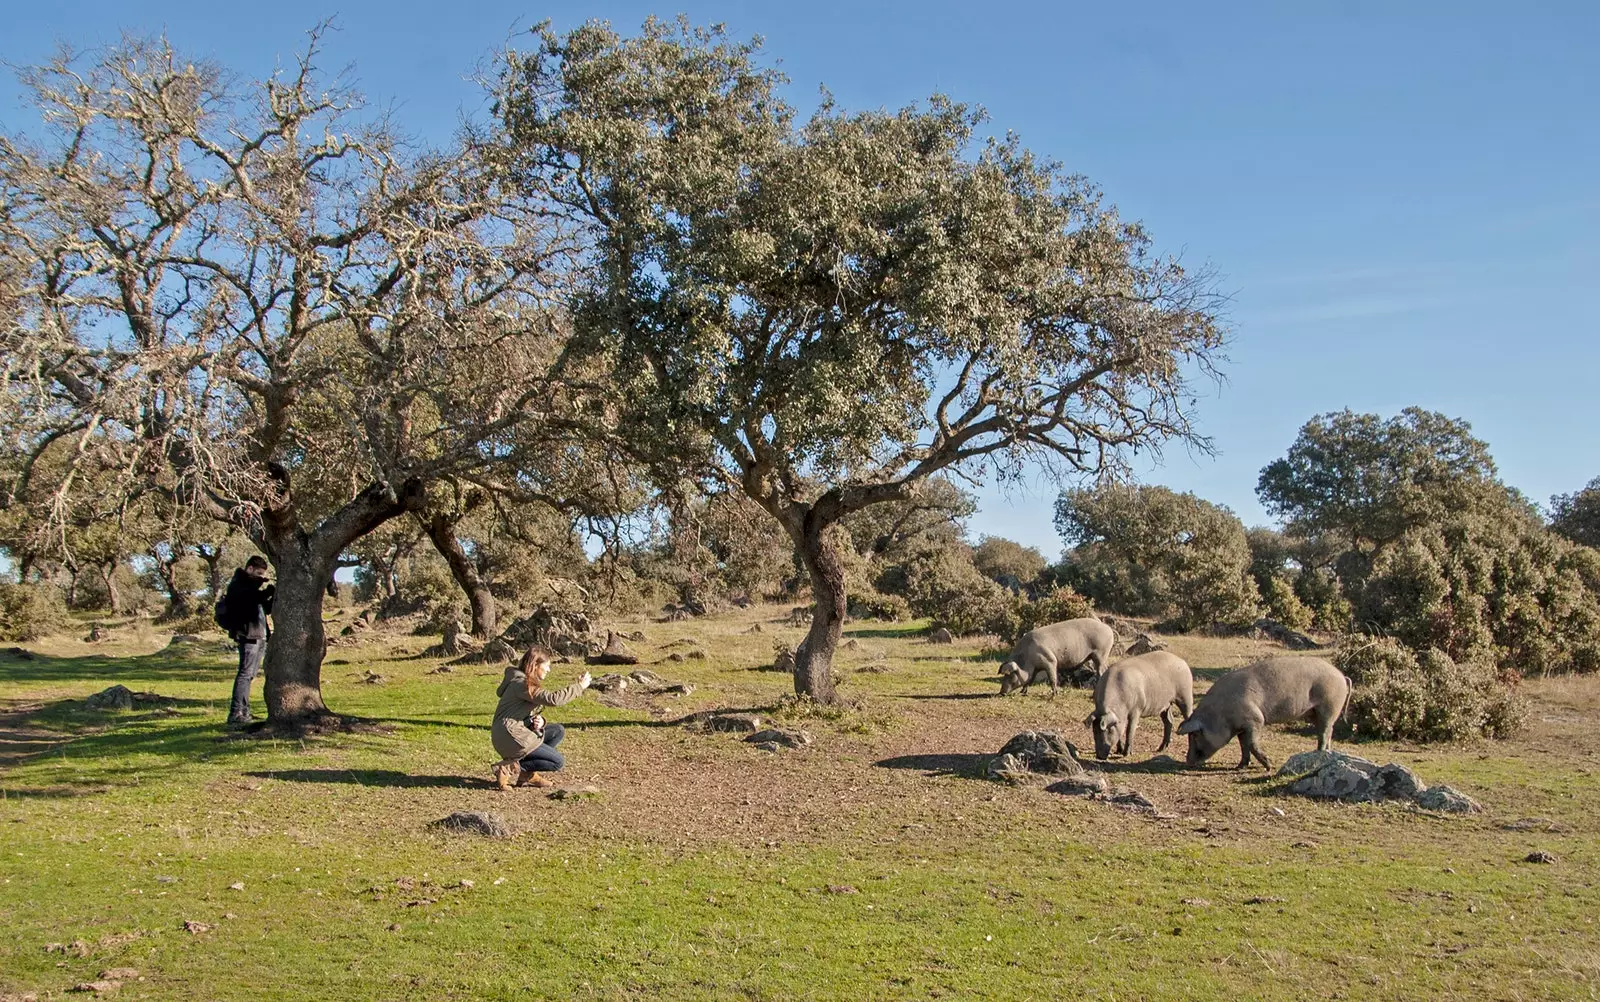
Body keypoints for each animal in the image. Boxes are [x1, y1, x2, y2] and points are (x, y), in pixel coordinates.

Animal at [992, 617, 1120, 694]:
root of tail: (1108, 627)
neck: (1027, 657)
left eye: (1010, 675)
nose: (1001, 692)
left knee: (1102, 671)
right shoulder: (1035, 668)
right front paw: (1023, 693)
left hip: (1101, 653)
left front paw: (1055, 694)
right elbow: (1030, 680)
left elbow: (1052, 677)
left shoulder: (1050, 660)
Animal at [1177, 653, 1350, 768]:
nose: (1188, 761)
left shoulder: (1255, 720)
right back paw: (1327, 752)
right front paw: (1240, 766)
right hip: (1316, 713)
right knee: (1328, 731)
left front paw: (1269, 767)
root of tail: (1342, 676)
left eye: (1195, 734)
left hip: (1329, 706)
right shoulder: (1241, 728)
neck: (1220, 714)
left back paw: (1318, 753)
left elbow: (1251, 744)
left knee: (1324, 732)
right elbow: (1243, 746)